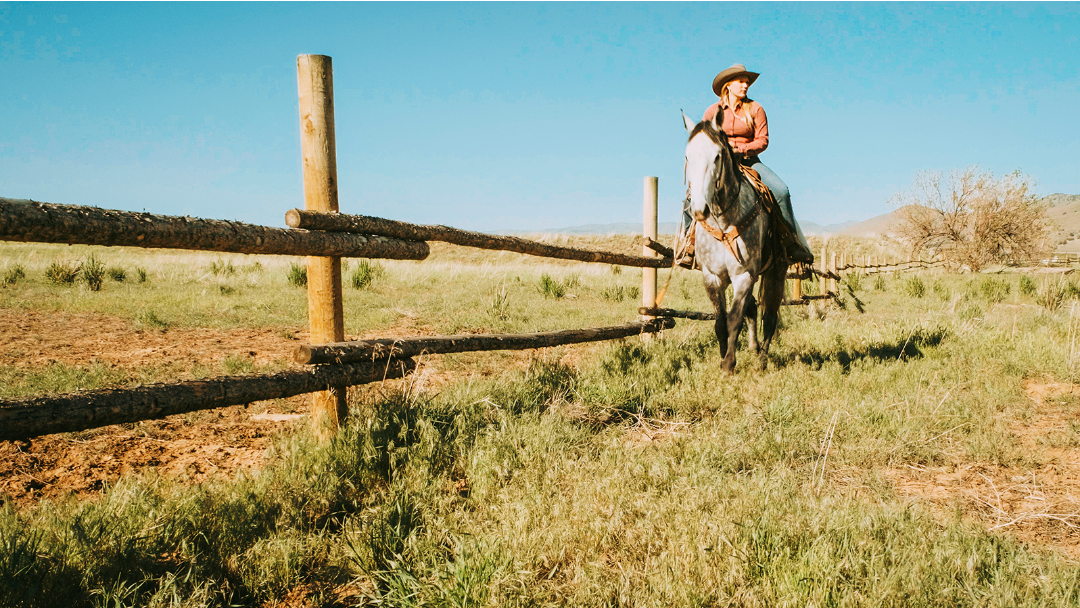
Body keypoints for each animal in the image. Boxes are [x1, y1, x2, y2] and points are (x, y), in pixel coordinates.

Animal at [678, 111, 790, 373]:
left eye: (717, 156)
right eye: (688, 156)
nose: (699, 209)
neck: (725, 220)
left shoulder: (744, 275)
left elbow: (734, 318)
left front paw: (729, 363)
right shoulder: (711, 277)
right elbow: (721, 321)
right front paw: (722, 357)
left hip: (776, 272)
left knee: (770, 316)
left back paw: (762, 360)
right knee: (754, 308)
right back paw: (754, 348)